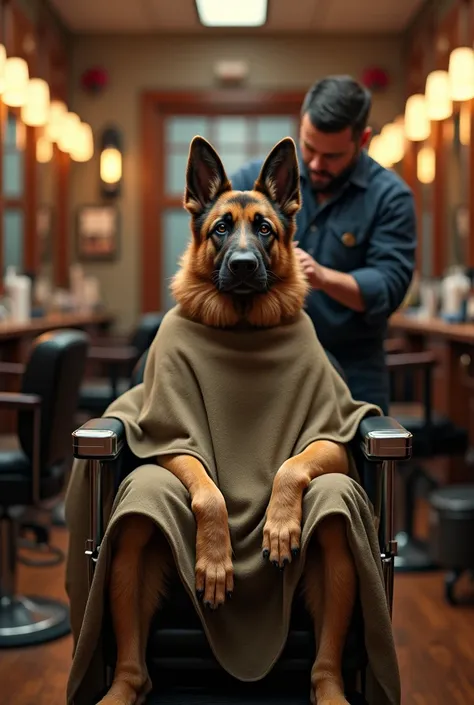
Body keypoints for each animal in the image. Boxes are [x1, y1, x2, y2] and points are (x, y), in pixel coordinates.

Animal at [101, 136, 360, 704]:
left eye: (263, 228)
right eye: (222, 228)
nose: (242, 265)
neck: (241, 327)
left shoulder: (332, 440)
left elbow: (291, 467)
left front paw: (279, 524)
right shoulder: (170, 440)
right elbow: (209, 493)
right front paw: (218, 559)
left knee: (333, 514)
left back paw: (330, 686)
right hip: (141, 514)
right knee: (138, 513)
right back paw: (122, 686)